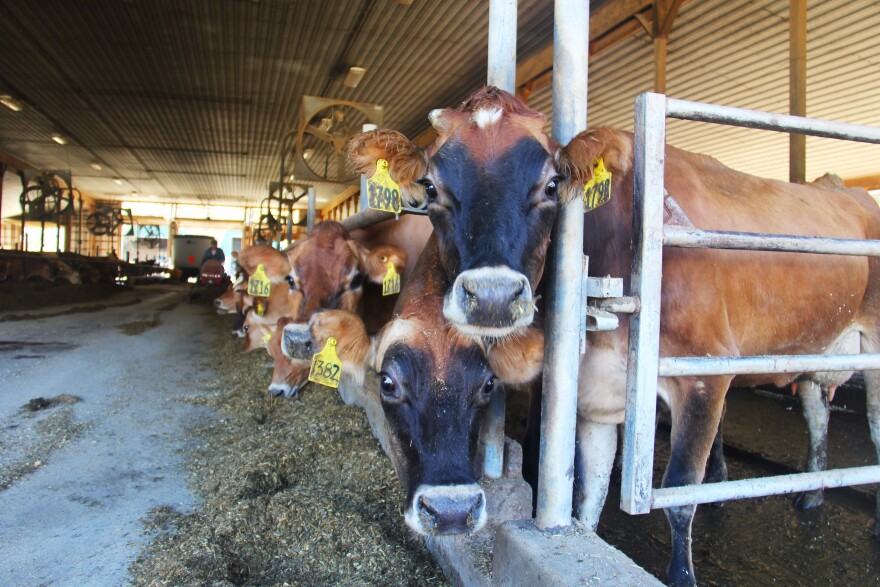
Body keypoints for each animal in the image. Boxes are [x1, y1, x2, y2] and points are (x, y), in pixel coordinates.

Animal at [346, 88, 880, 587]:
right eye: (430, 186)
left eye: (553, 184)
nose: (493, 296)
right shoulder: (595, 398)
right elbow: (587, 496)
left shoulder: (705, 374)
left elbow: (680, 495)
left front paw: (682, 573)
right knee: (816, 408)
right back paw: (811, 492)